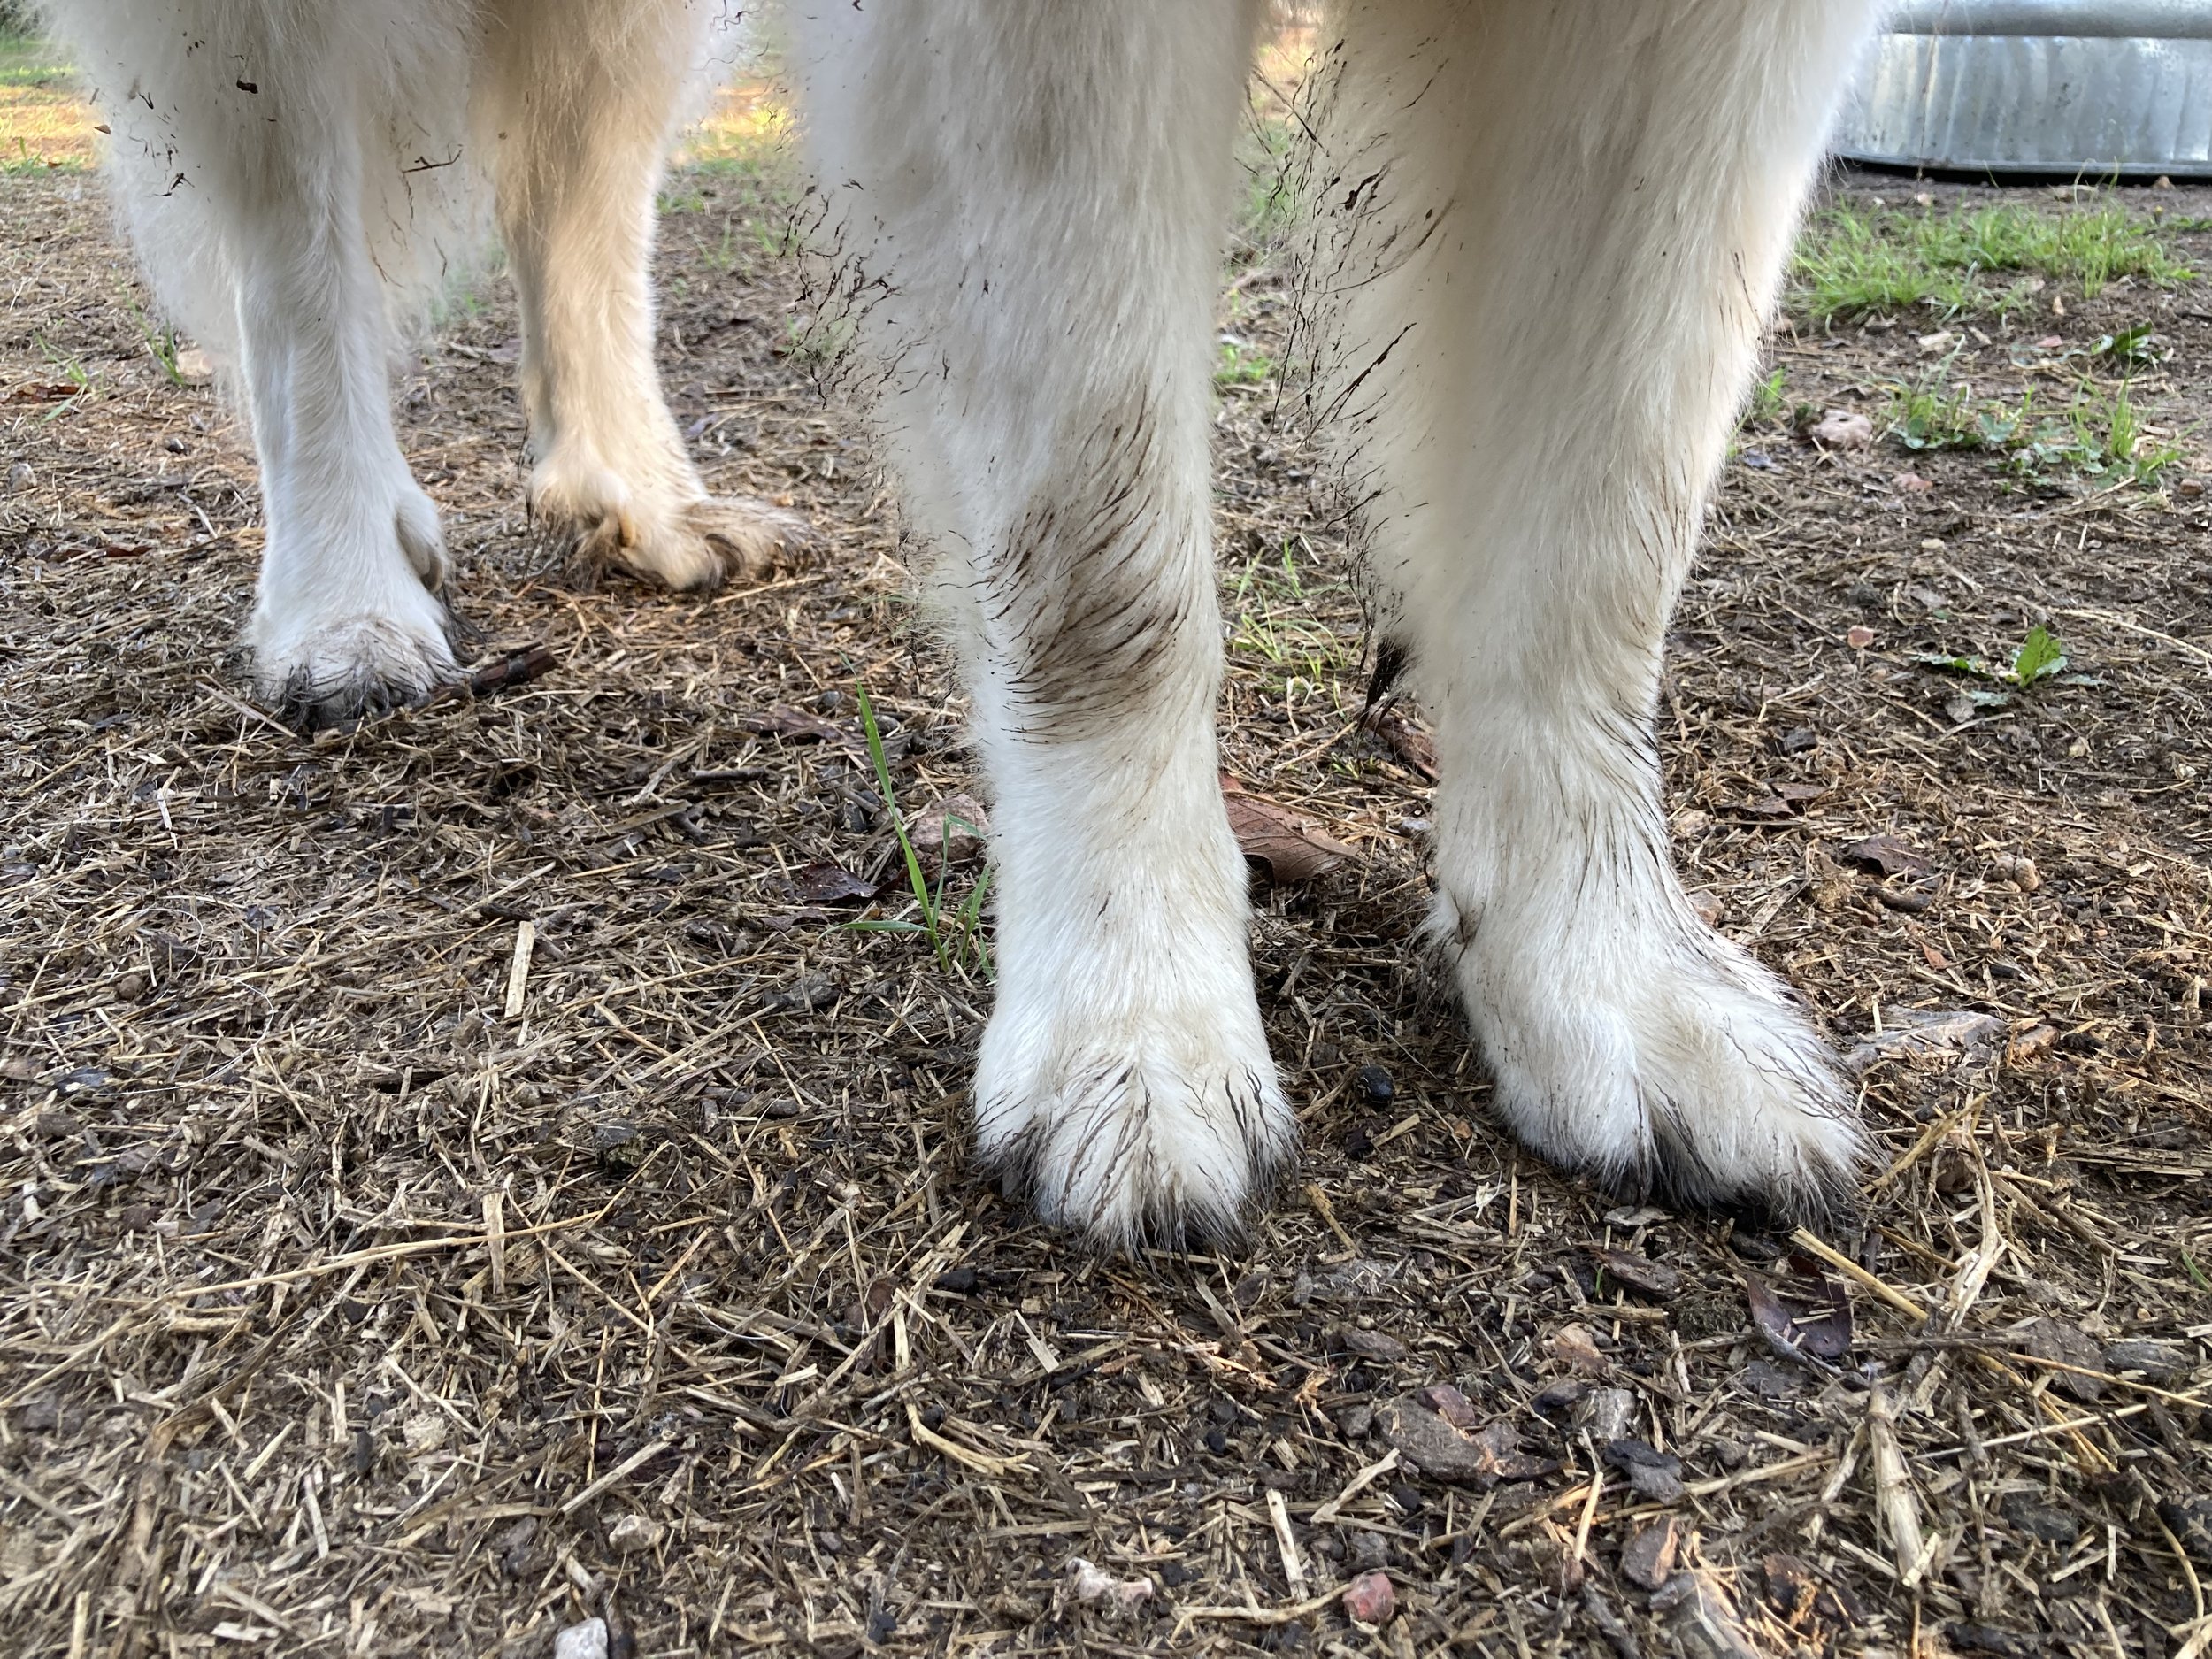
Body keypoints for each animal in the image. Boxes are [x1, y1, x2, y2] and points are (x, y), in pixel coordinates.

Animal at [39, 0, 1885, 1248]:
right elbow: (1106, 565)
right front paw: (1136, 1029)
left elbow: (1607, 531)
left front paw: (1604, 968)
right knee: (293, 250)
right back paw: (345, 585)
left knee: (577, 185)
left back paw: (635, 492)